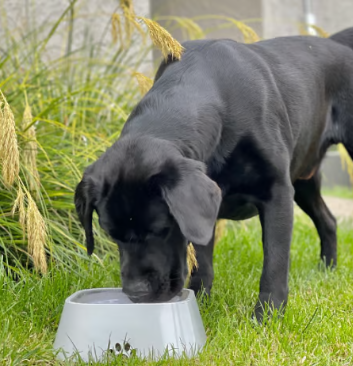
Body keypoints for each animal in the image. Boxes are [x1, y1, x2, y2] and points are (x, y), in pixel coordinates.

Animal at [74, 28, 352, 320]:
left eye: (162, 230)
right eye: (111, 234)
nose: (136, 293)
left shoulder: (277, 190)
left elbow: (274, 262)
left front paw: (267, 315)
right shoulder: (203, 215)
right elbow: (203, 262)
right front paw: (200, 301)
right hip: (304, 180)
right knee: (328, 220)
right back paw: (327, 270)